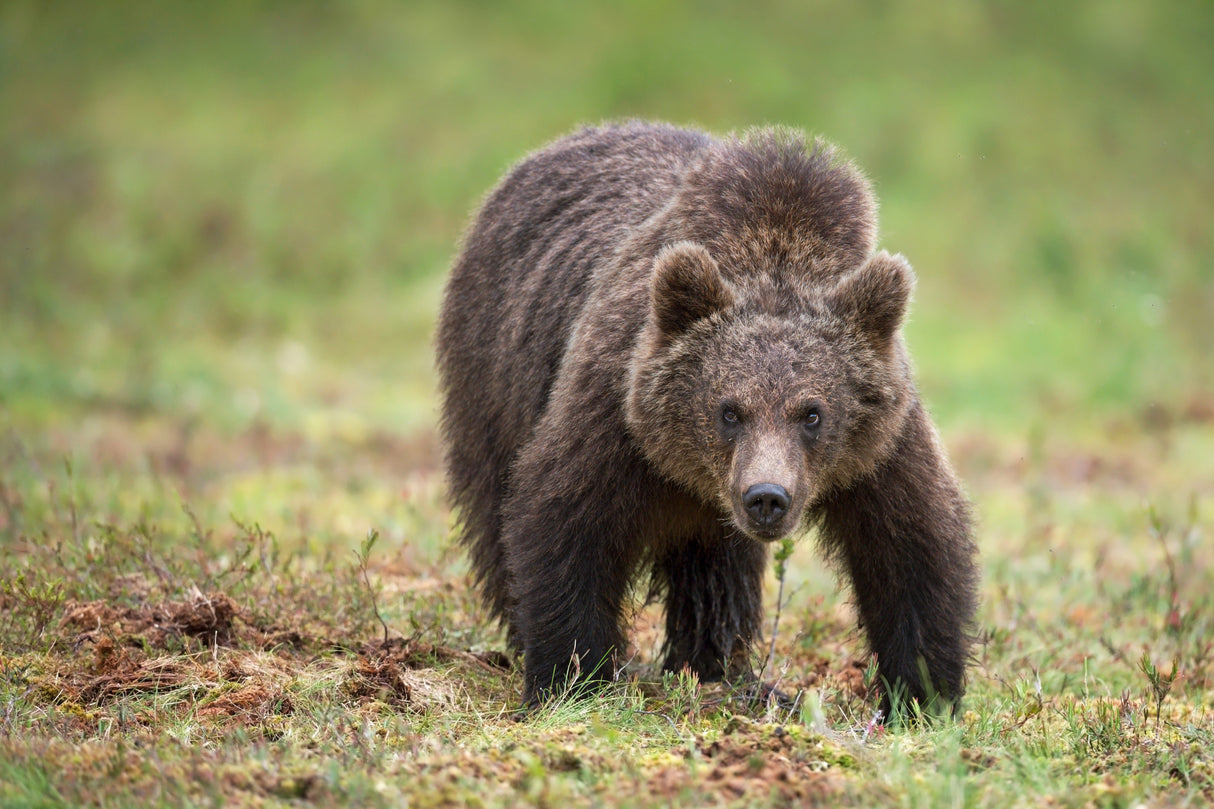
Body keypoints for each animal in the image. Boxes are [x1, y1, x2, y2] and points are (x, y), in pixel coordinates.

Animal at [436, 121, 978, 719]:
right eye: (729, 410)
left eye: (812, 413)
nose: (767, 497)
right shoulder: (616, 407)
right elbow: (564, 519)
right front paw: (571, 679)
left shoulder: (881, 443)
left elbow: (913, 545)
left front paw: (924, 694)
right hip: (495, 372)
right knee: (493, 507)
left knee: (715, 573)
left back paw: (715, 666)